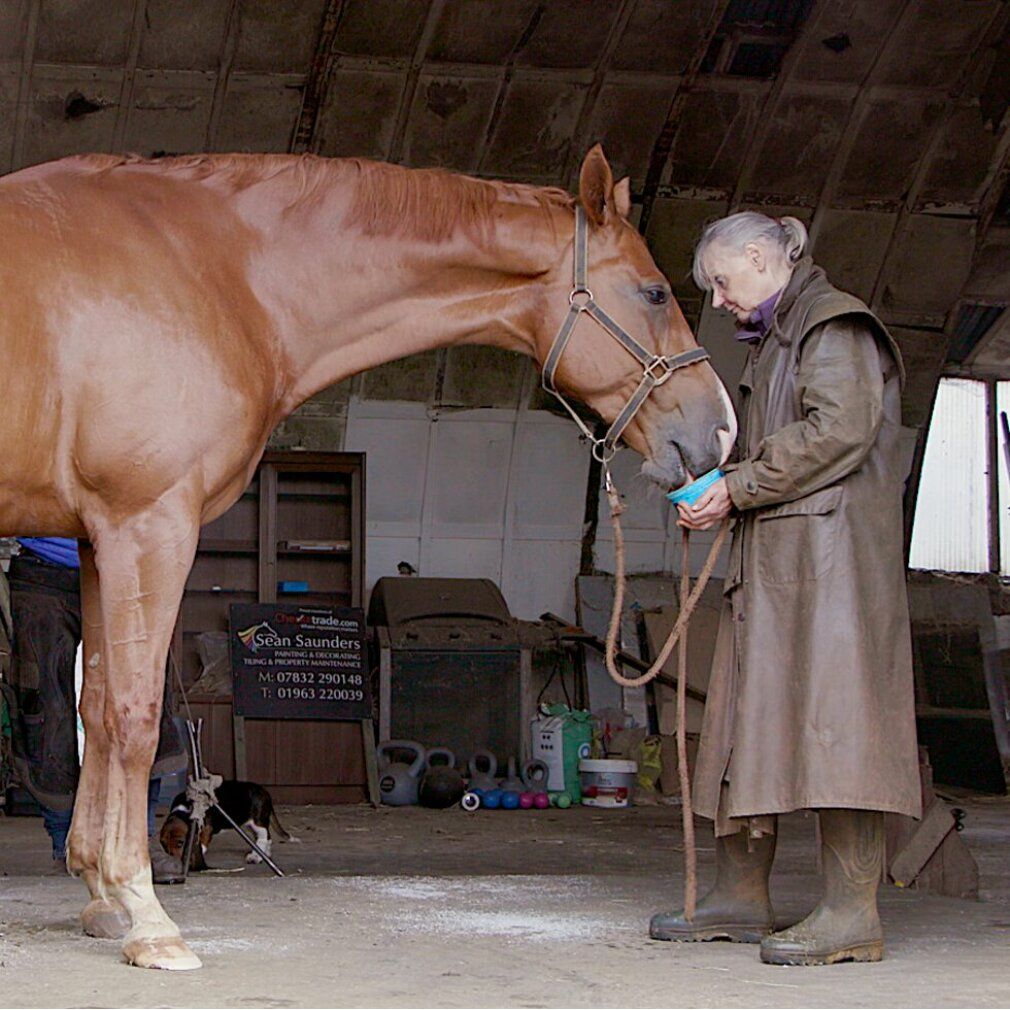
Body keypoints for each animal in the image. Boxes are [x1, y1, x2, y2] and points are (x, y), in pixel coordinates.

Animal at [0, 144, 735, 970]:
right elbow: (132, 716)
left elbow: (98, 709)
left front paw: (100, 896)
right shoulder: (147, 523)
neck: (212, 270)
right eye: (652, 292)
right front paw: (147, 917)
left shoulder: (100, 539)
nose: (720, 429)